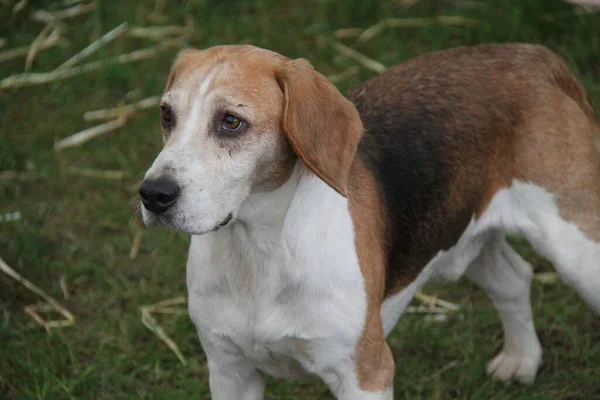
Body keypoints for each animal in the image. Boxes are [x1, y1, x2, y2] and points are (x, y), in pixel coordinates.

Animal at [141, 43, 600, 400]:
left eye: (231, 122)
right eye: (166, 115)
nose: (153, 195)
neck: (260, 249)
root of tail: (533, 56)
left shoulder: (366, 374)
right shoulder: (229, 371)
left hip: (573, 248)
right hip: (459, 236)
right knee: (515, 278)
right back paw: (522, 359)